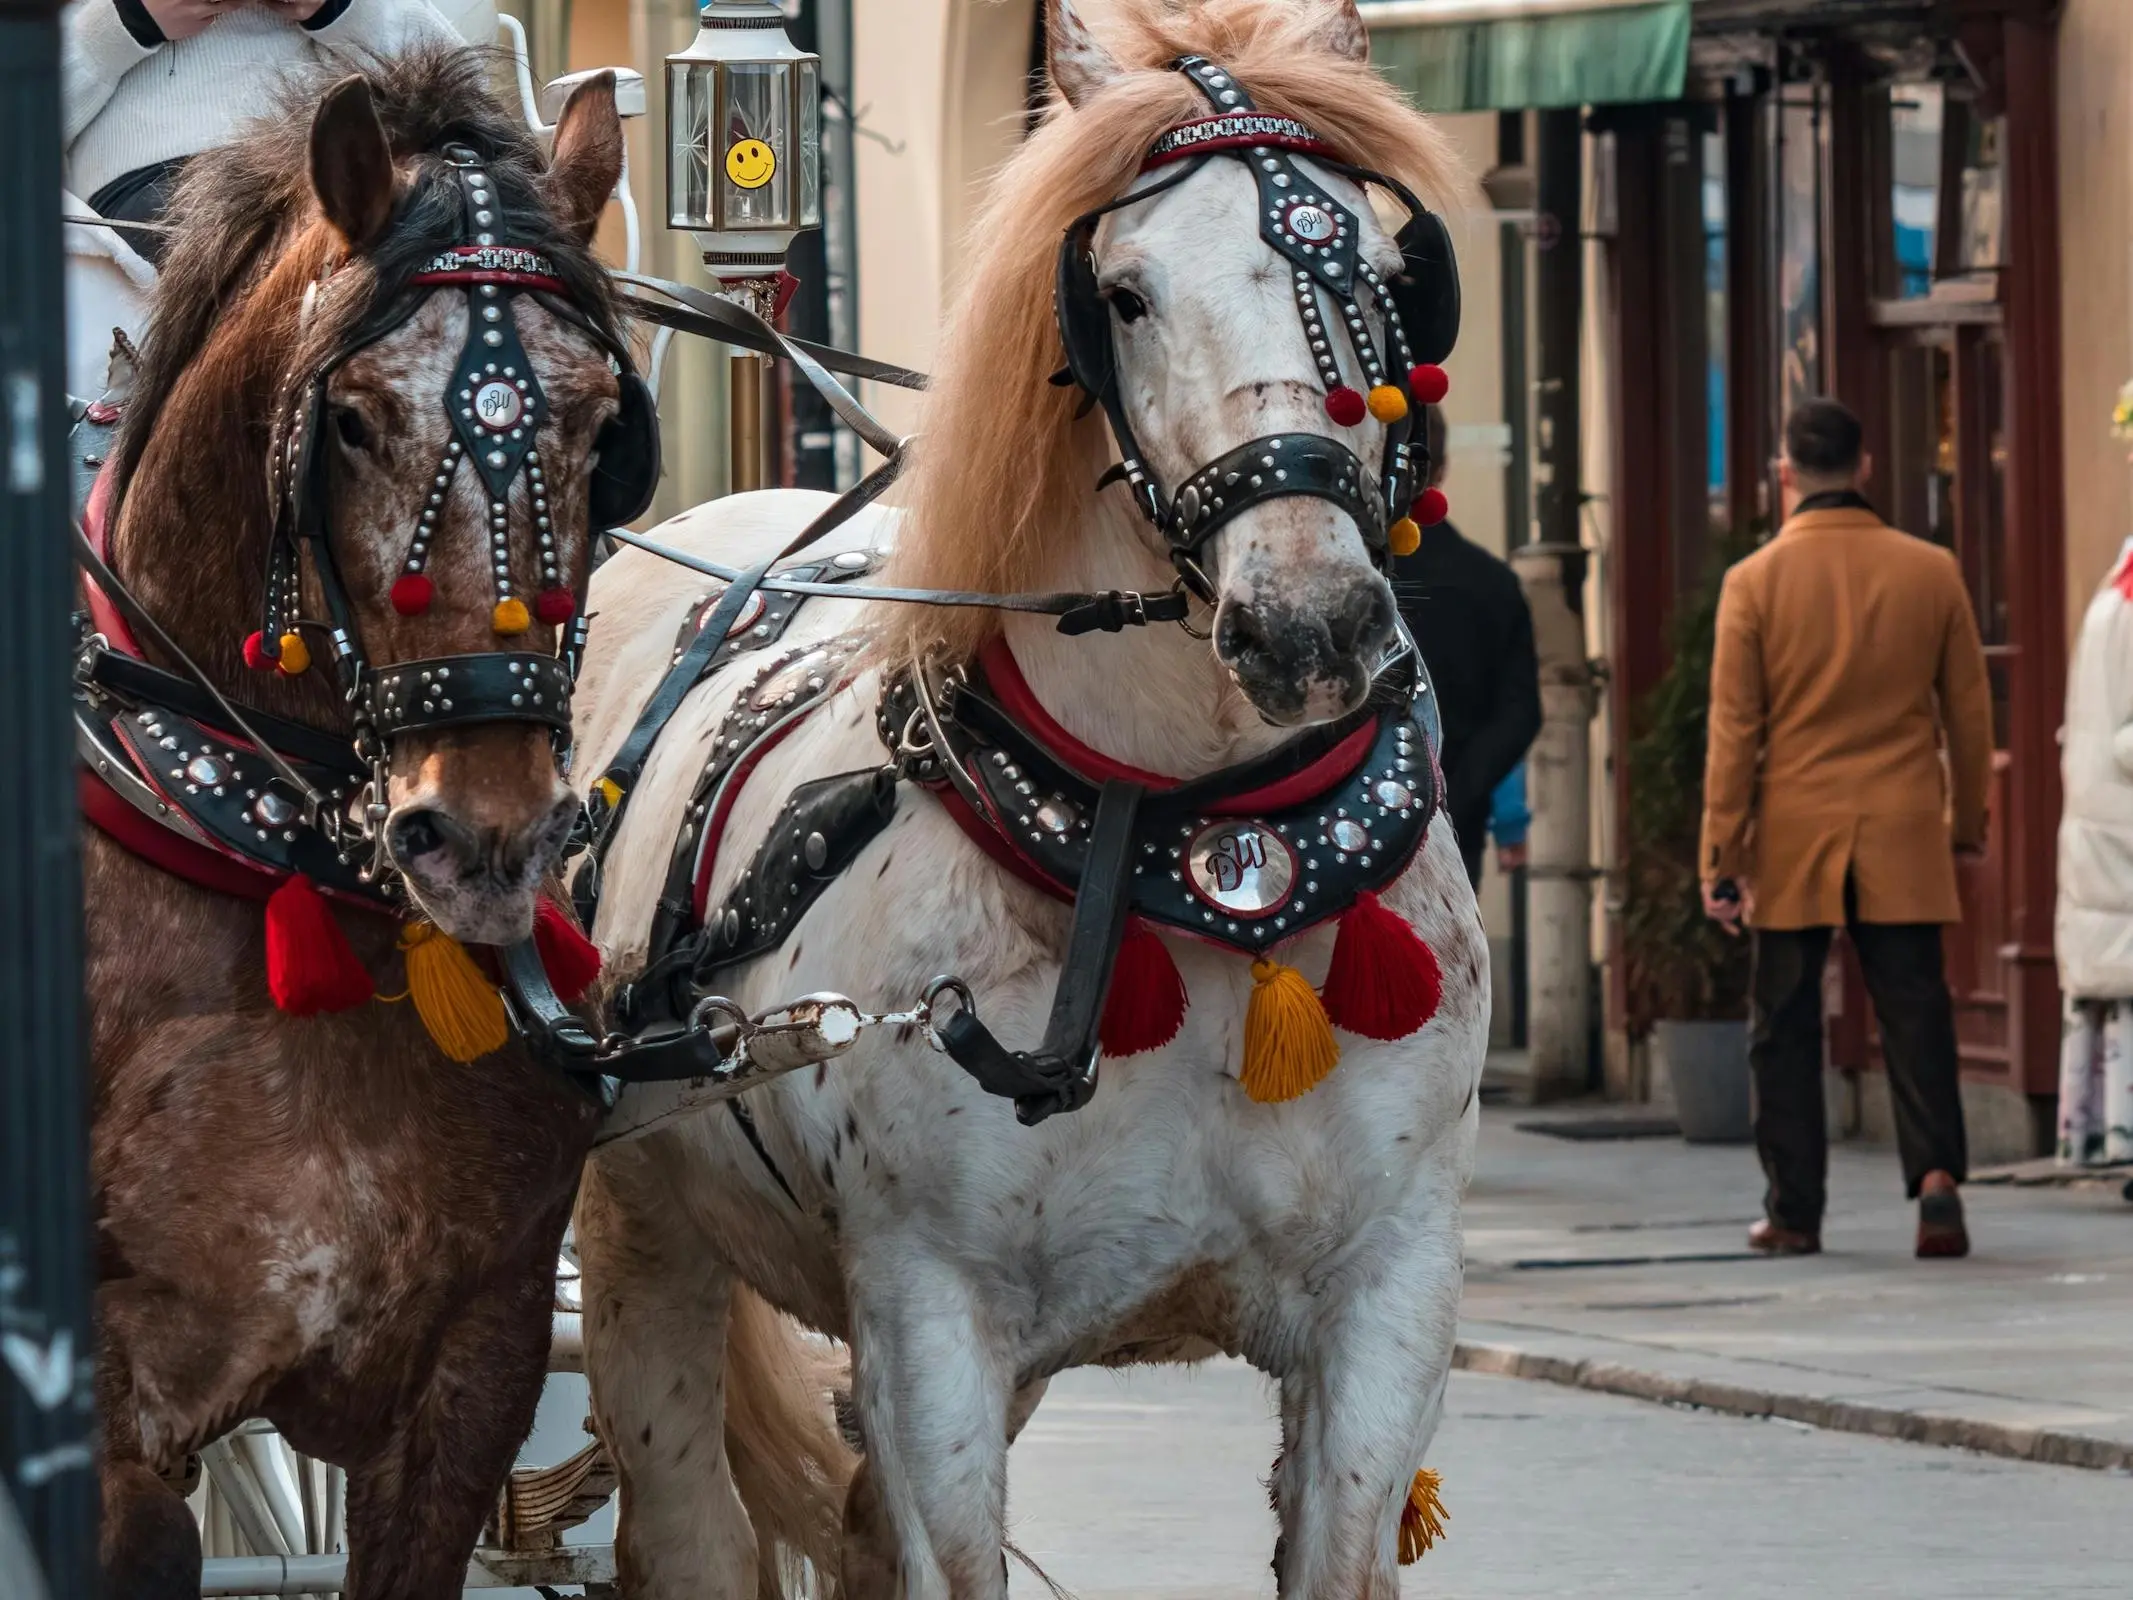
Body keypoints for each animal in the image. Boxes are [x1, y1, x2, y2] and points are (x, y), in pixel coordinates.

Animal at [575, 6, 1493, 1595]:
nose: (1309, 624)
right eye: (1121, 292)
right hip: (642, 1241)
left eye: (1391, 278)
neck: (1189, 848)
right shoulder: (926, 1318)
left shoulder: (1389, 1299)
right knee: (689, 1519)